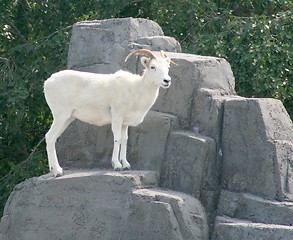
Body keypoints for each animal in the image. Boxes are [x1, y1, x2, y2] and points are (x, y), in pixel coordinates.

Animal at [43, 49, 176, 176]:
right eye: (153, 67)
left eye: (168, 67)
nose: (167, 81)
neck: (135, 90)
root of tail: (47, 82)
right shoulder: (117, 117)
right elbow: (117, 138)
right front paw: (117, 165)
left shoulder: (124, 124)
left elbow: (125, 139)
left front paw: (125, 164)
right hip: (61, 116)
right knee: (49, 137)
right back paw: (57, 172)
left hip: (67, 119)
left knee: (52, 138)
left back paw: (56, 170)